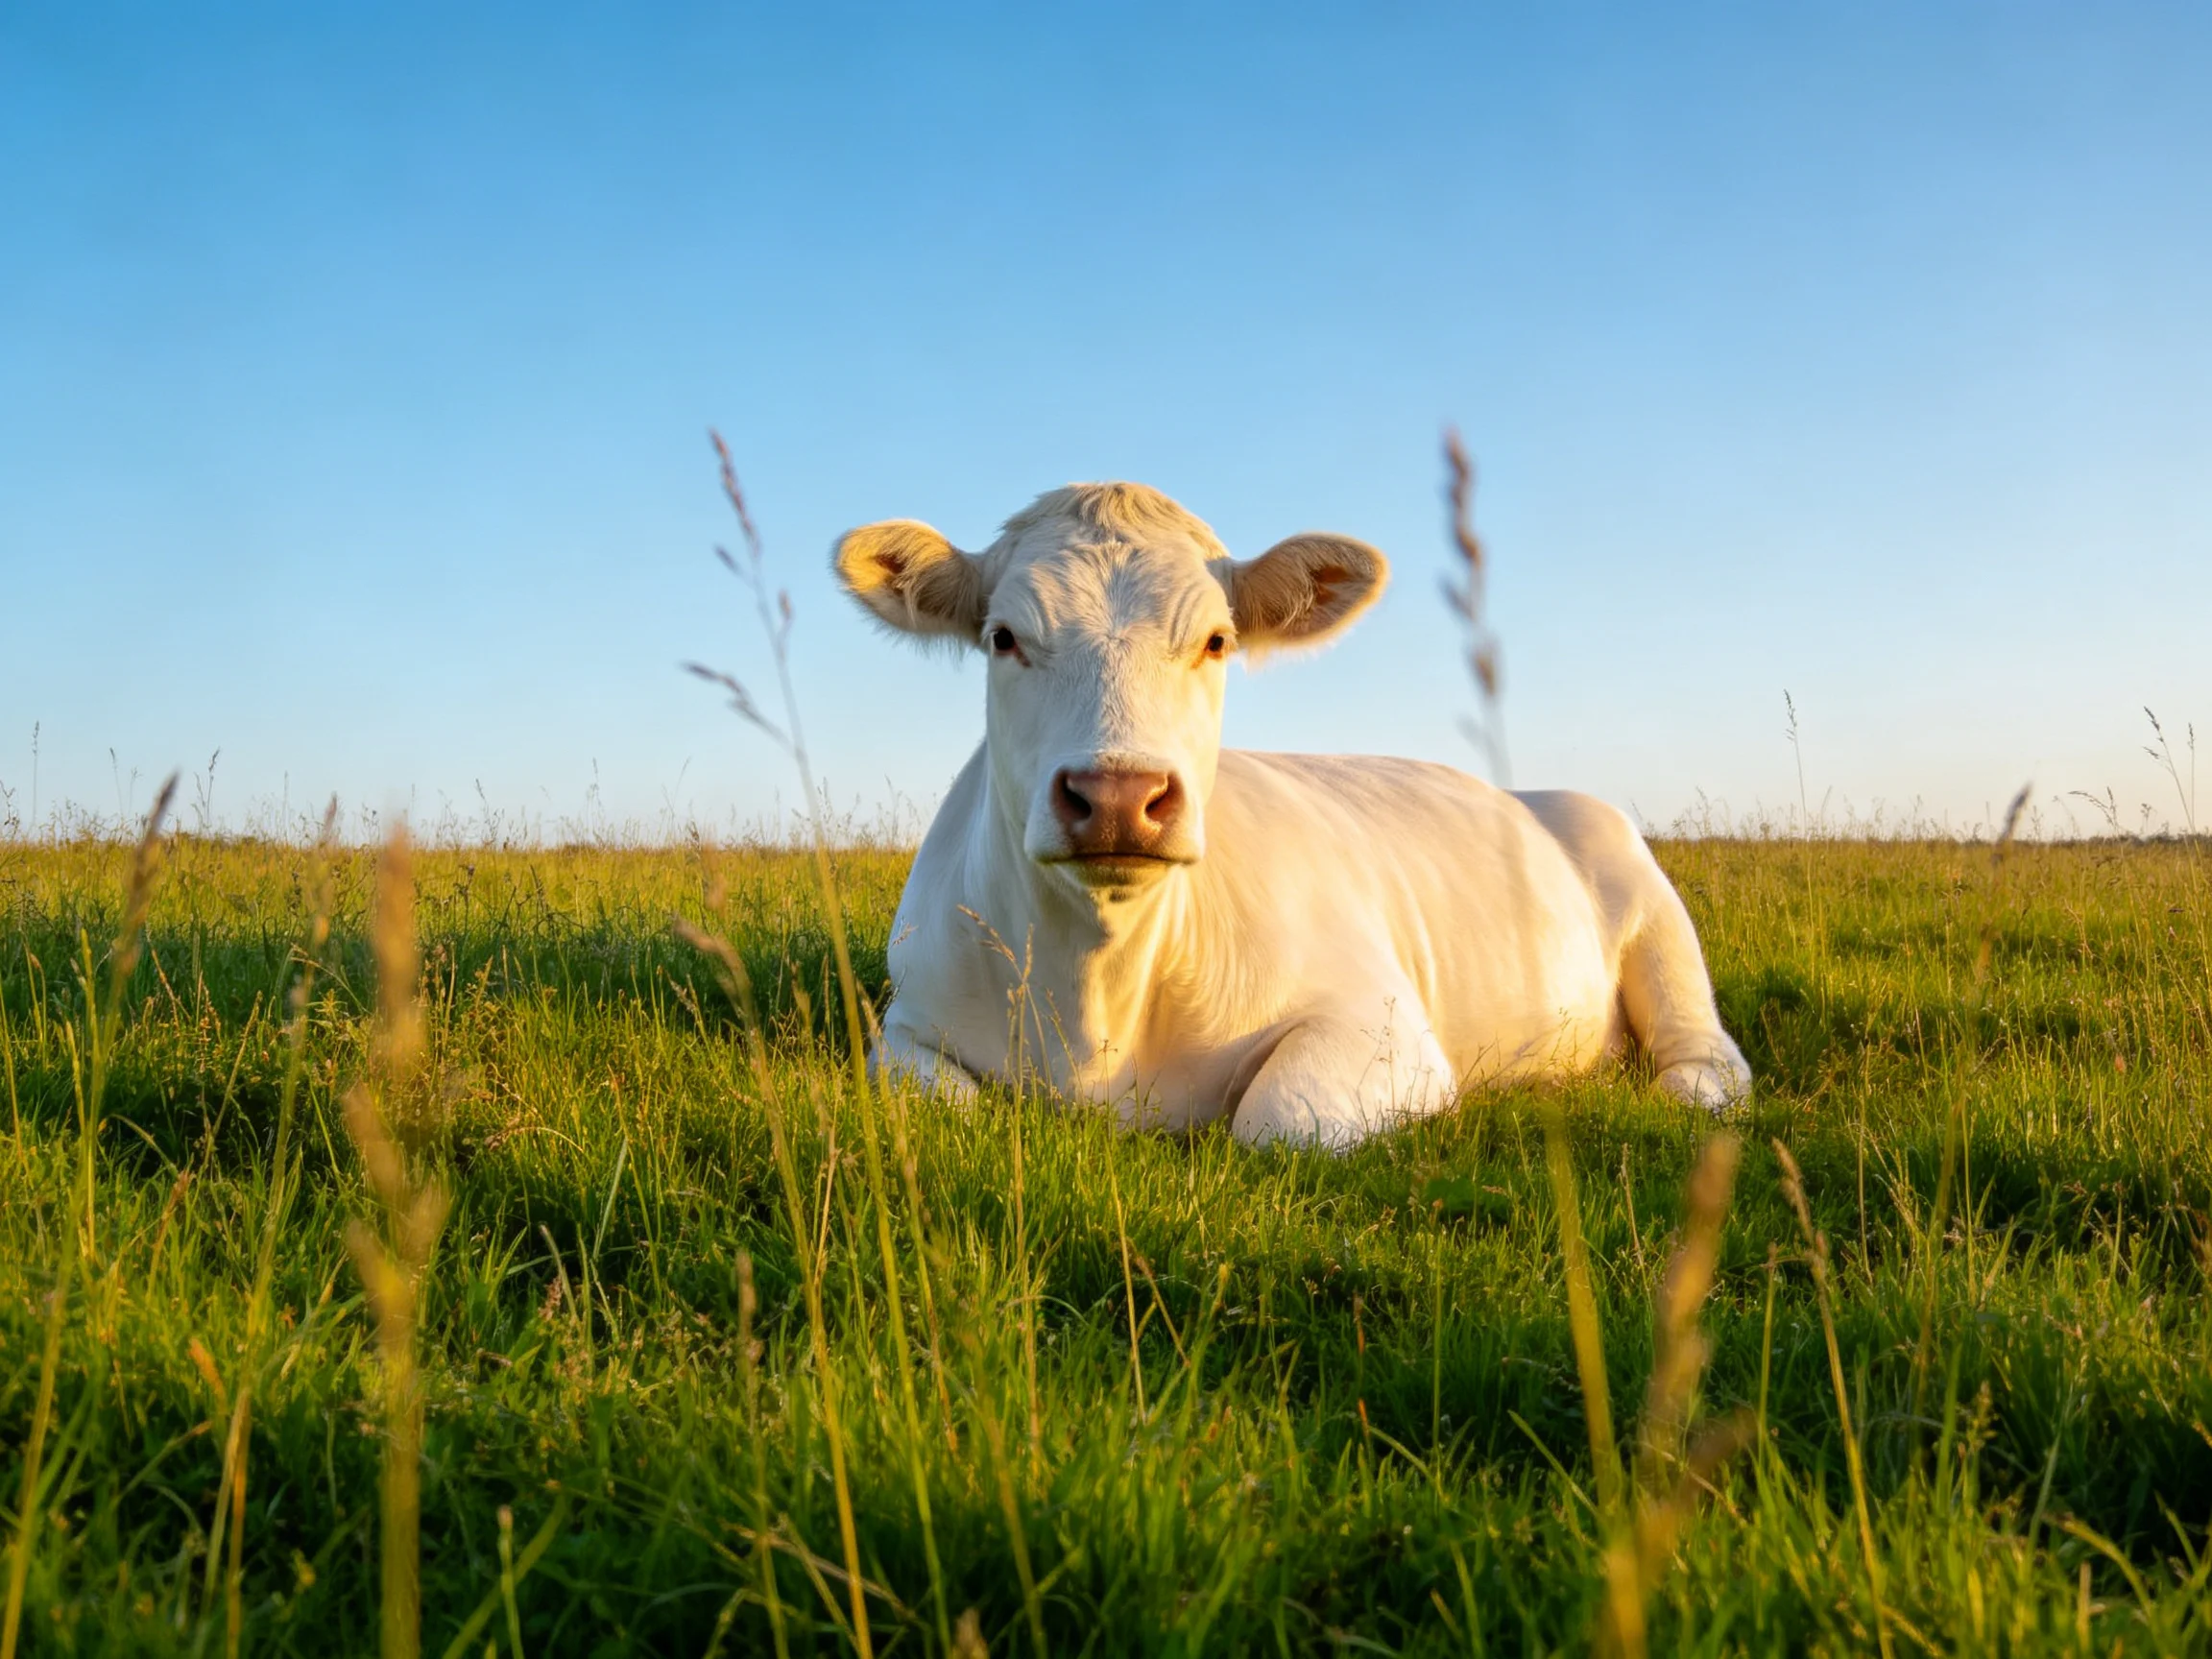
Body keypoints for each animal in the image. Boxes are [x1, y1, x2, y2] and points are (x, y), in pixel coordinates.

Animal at [832, 481, 1750, 1148]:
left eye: (1216, 641)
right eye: (1004, 637)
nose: (1119, 796)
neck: (1099, 1001)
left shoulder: (1384, 1026)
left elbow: (1278, 1118)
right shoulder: (903, 1024)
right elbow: (940, 1102)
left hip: (1650, 905)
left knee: (1706, 1049)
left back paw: (1688, 1091)